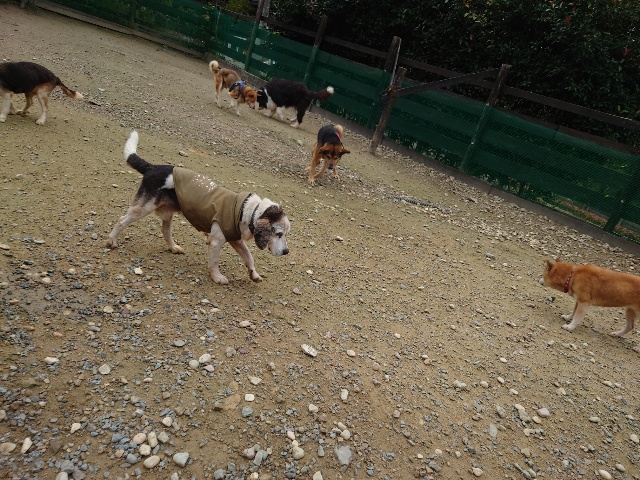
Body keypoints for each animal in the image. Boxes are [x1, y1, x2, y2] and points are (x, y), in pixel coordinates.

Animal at [106, 131, 290, 285]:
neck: (247, 210)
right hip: (142, 208)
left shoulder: (236, 240)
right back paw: (112, 241)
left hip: (167, 212)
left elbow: (249, 258)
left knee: (165, 230)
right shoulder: (217, 241)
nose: (287, 251)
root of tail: (152, 167)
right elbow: (215, 261)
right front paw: (217, 277)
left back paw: (173, 247)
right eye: (278, 234)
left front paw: (254, 274)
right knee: (121, 220)